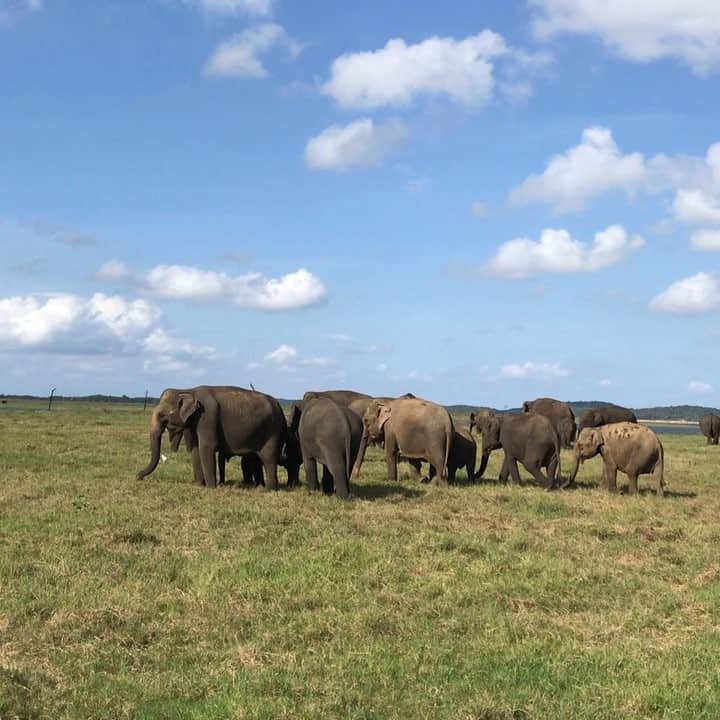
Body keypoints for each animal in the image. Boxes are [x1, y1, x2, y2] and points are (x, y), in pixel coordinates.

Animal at [136, 386, 297, 490]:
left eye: (162, 415)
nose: (138, 476)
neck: (188, 390)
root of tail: (280, 408)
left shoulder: (207, 416)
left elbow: (206, 447)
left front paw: (211, 487)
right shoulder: (194, 421)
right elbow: (195, 449)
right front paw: (198, 485)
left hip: (273, 432)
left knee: (269, 459)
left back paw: (268, 489)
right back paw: (260, 487)